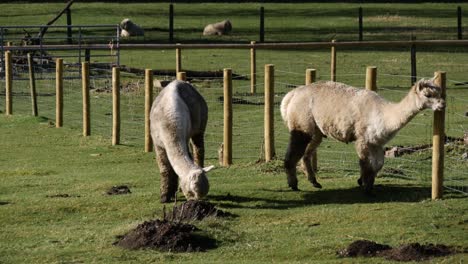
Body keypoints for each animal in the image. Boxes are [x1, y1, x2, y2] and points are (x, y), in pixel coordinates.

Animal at [280, 78, 444, 194]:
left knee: (306, 154)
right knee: (293, 153)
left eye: (440, 93)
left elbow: (378, 164)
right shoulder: (362, 138)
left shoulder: (376, 142)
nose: (442, 104)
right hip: (302, 122)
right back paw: (293, 184)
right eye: (428, 95)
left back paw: (314, 182)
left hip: (316, 131)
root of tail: (291, 95)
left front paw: (364, 182)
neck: (382, 114)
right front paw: (366, 187)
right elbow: (365, 163)